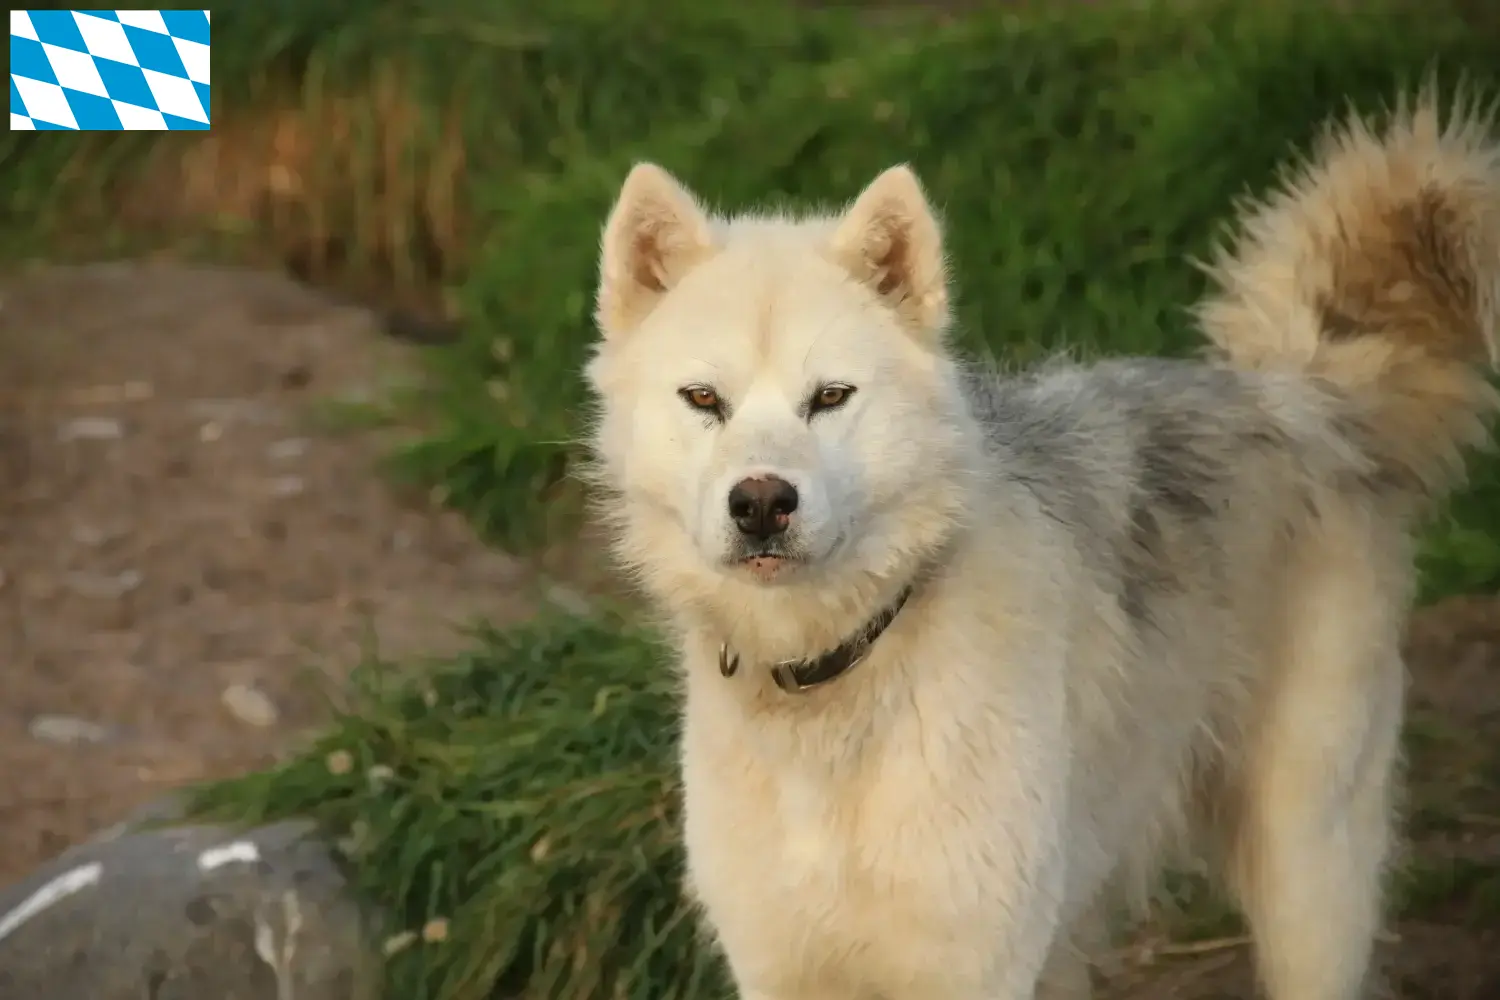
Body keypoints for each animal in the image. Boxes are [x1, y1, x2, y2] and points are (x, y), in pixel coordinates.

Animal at [576, 95, 1500, 1000]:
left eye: (830, 397)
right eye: (704, 399)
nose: (763, 503)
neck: (840, 677)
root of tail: (1299, 393)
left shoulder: (974, 970)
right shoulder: (782, 971)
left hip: (1307, 885)